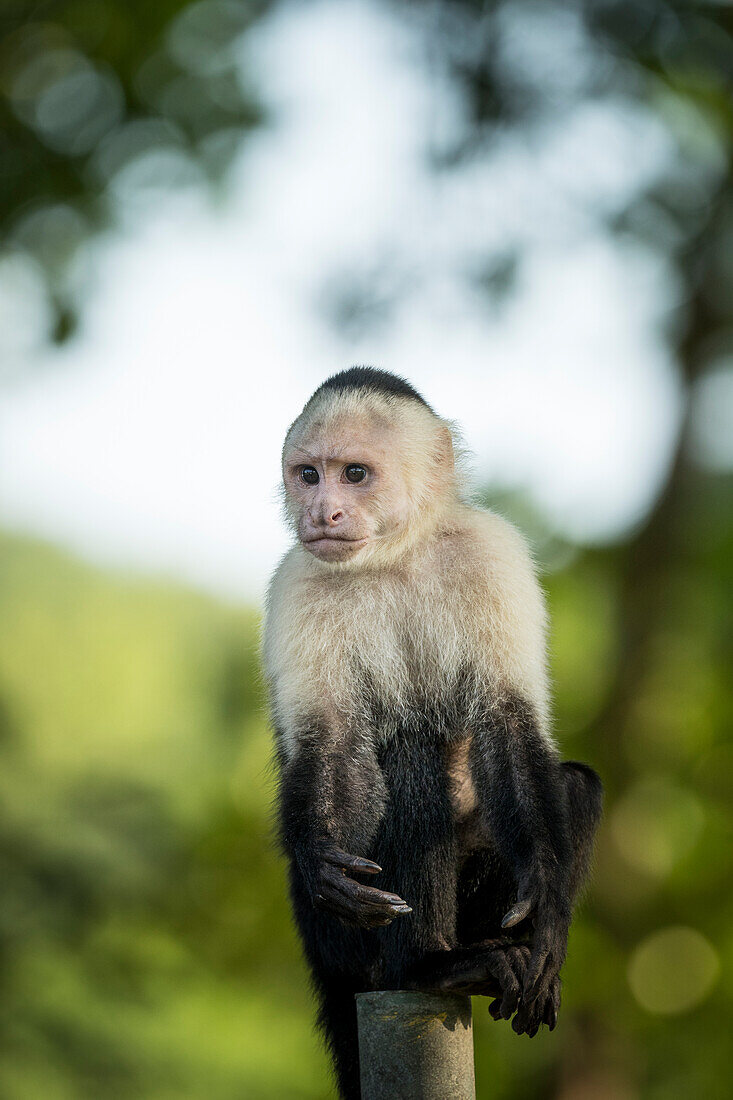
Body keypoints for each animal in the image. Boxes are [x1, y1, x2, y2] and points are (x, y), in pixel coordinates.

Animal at [263, 369, 598, 1100]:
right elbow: (333, 744)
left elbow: (509, 727)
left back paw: (498, 959)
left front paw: (546, 910)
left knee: (574, 784)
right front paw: (321, 856)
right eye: (308, 475)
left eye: (354, 474)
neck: (398, 552)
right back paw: (427, 970)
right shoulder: (297, 582)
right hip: (337, 944)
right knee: (410, 758)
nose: (322, 511)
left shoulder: (491, 553)